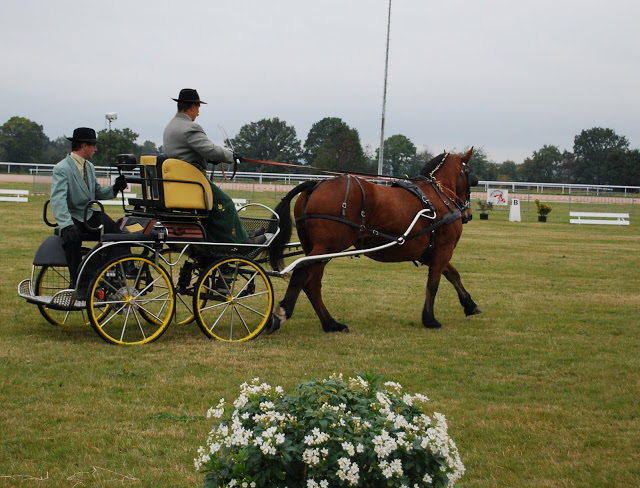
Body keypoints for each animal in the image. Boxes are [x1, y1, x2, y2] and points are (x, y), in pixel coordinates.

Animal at [264, 147, 480, 334]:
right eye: (471, 176)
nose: (468, 214)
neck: (439, 196)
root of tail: (316, 184)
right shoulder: (443, 249)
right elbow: (434, 283)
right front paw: (430, 319)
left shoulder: (429, 252)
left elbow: (453, 274)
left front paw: (470, 305)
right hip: (328, 247)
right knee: (302, 274)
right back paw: (281, 314)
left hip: (316, 249)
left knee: (312, 284)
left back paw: (331, 324)